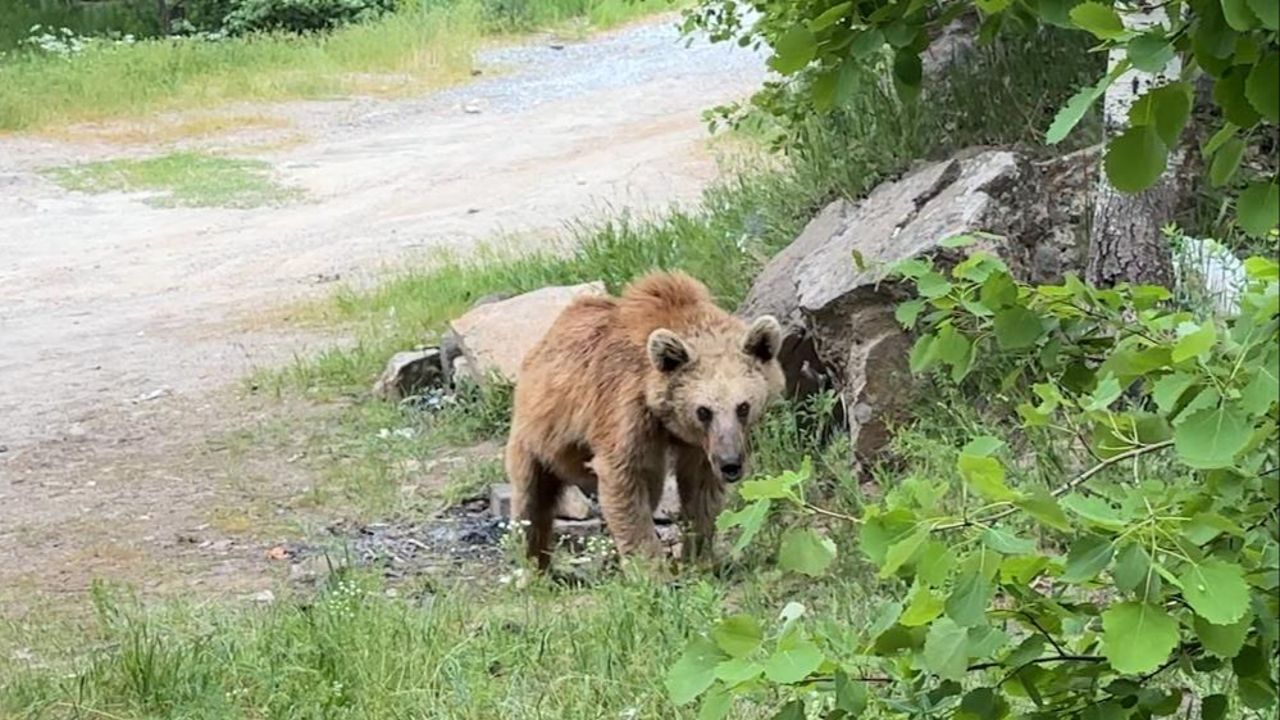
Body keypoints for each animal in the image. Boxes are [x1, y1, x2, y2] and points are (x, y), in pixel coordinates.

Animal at [504, 269, 783, 566]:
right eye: (703, 411)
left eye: (743, 407)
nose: (731, 464)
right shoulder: (626, 411)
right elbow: (625, 479)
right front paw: (652, 566)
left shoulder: (700, 445)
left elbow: (700, 490)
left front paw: (697, 556)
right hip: (537, 434)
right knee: (531, 502)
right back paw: (534, 565)